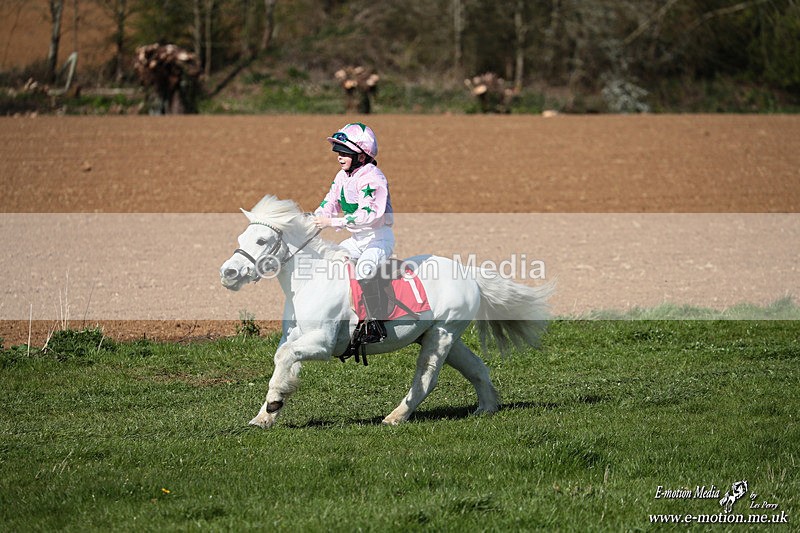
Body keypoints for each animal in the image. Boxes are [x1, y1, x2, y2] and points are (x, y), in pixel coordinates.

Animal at [219, 195, 553, 428]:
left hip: (442, 335)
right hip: (441, 336)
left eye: (262, 240)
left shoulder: (323, 343)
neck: (309, 280)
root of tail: (468, 273)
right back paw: (486, 408)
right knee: (477, 368)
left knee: (426, 379)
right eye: (240, 239)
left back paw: (396, 416)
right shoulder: (299, 336)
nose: (228, 274)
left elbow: (285, 357)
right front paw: (266, 414)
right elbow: (284, 361)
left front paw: (274, 404)